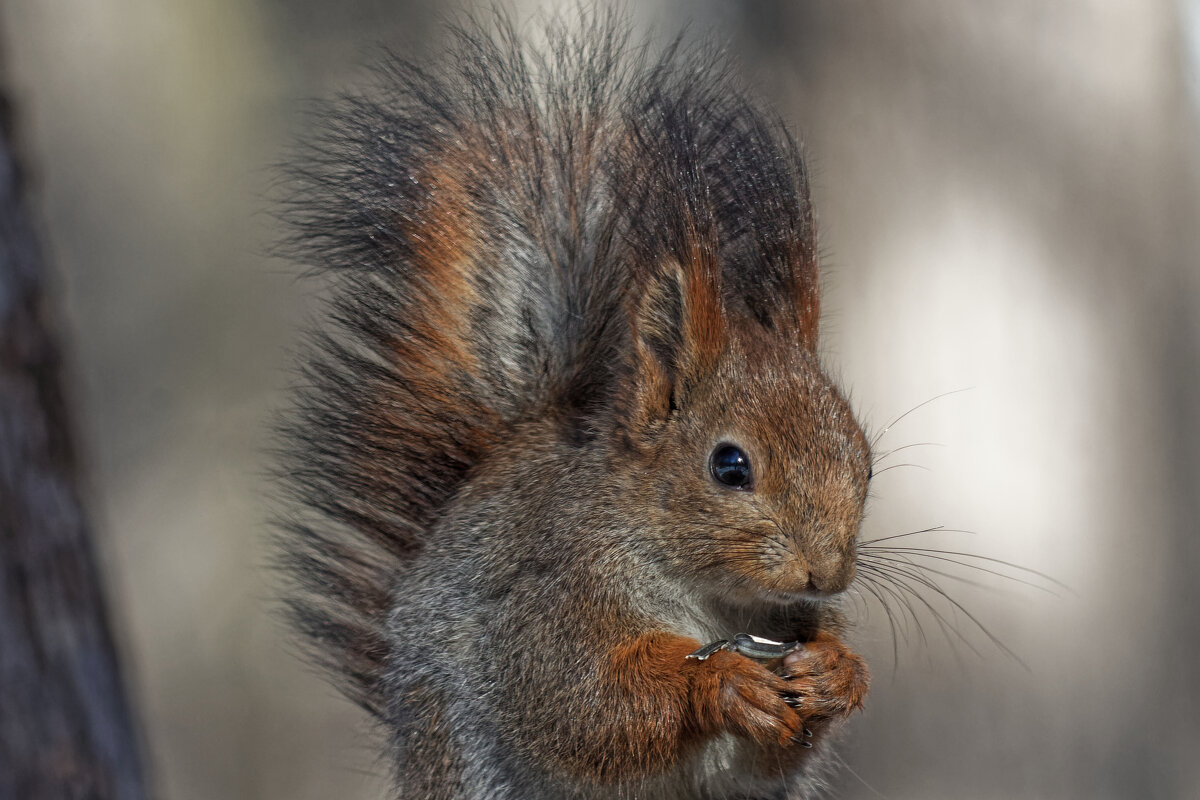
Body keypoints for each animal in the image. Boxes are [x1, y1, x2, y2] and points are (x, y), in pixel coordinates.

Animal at [274, 7, 873, 800]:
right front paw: (721, 684)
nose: (825, 574)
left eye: (867, 464)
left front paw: (836, 670)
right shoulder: (551, 603)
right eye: (730, 466)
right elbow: (583, 703)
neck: (711, 591)